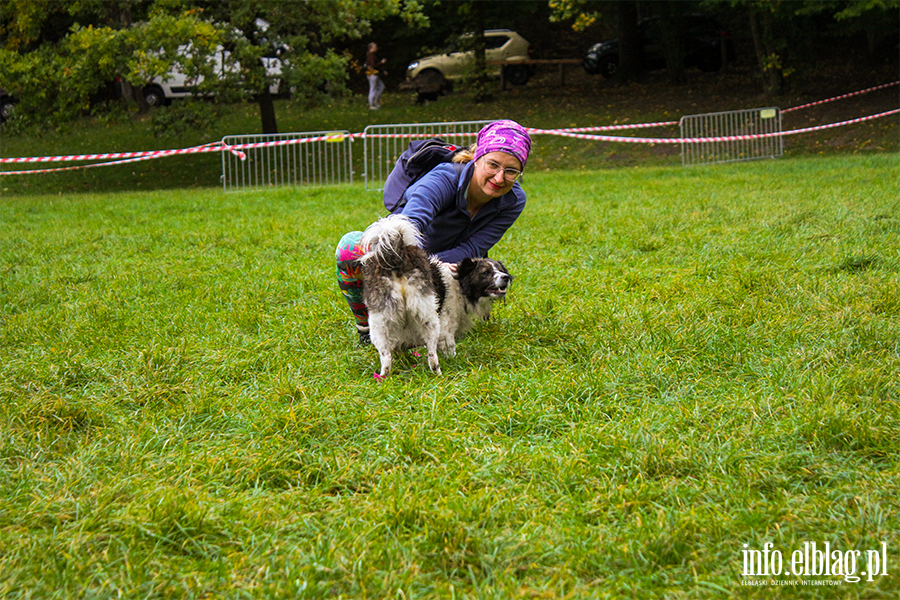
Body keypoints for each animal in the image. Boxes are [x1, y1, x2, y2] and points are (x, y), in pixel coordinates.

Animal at [358, 216, 512, 378]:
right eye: (485, 273)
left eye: (500, 270)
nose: (506, 277)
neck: (458, 283)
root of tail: (398, 259)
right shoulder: (446, 327)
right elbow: (449, 347)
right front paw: (453, 361)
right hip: (428, 318)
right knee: (432, 355)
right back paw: (437, 374)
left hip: (379, 323)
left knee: (386, 357)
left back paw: (385, 377)